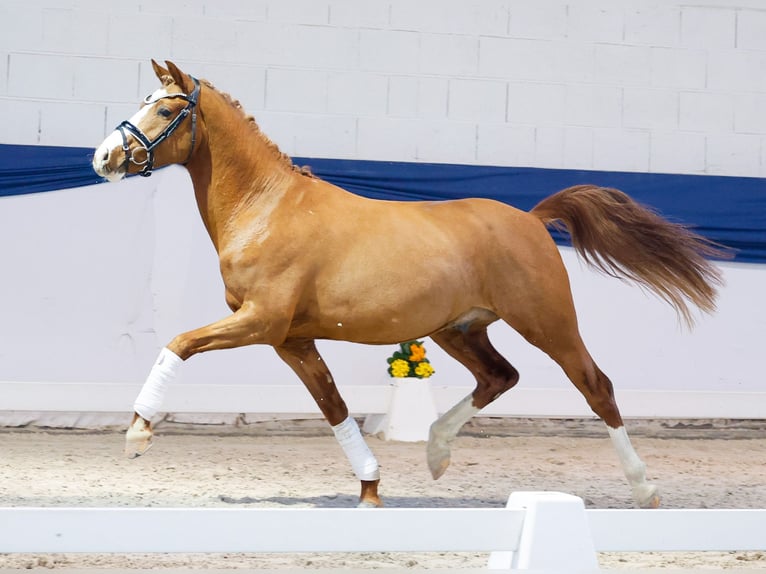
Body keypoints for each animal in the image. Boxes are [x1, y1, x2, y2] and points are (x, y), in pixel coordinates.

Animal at [92, 60, 726, 509]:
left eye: (165, 109)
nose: (103, 158)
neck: (266, 208)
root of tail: (530, 218)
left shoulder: (261, 321)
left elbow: (178, 343)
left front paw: (138, 433)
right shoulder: (291, 338)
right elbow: (333, 405)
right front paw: (371, 489)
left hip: (548, 323)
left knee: (597, 387)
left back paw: (645, 490)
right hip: (457, 330)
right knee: (500, 377)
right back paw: (437, 453)